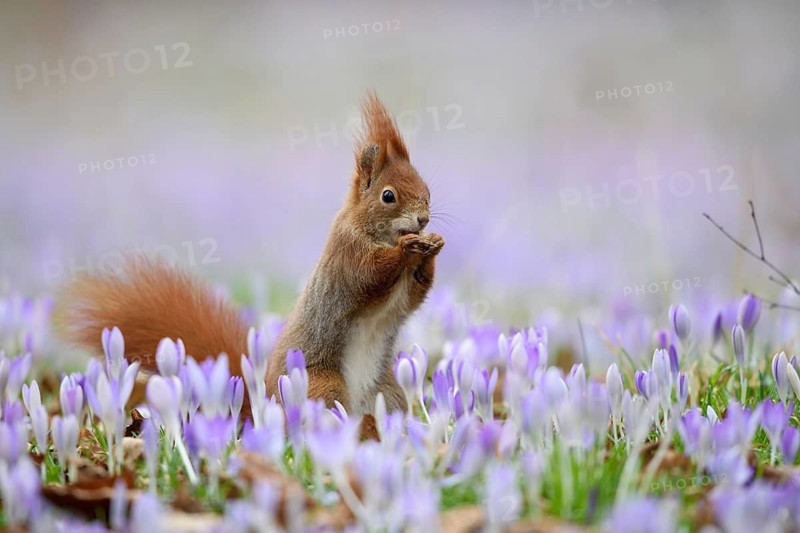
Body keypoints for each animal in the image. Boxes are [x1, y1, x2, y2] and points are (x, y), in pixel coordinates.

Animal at [55, 92, 444, 431]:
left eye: (427, 190)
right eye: (388, 196)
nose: (423, 219)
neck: (374, 230)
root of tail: (265, 404)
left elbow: (412, 296)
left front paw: (434, 248)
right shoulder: (346, 256)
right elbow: (370, 276)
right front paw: (407, 248)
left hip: (388, 393)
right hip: (322, 385)